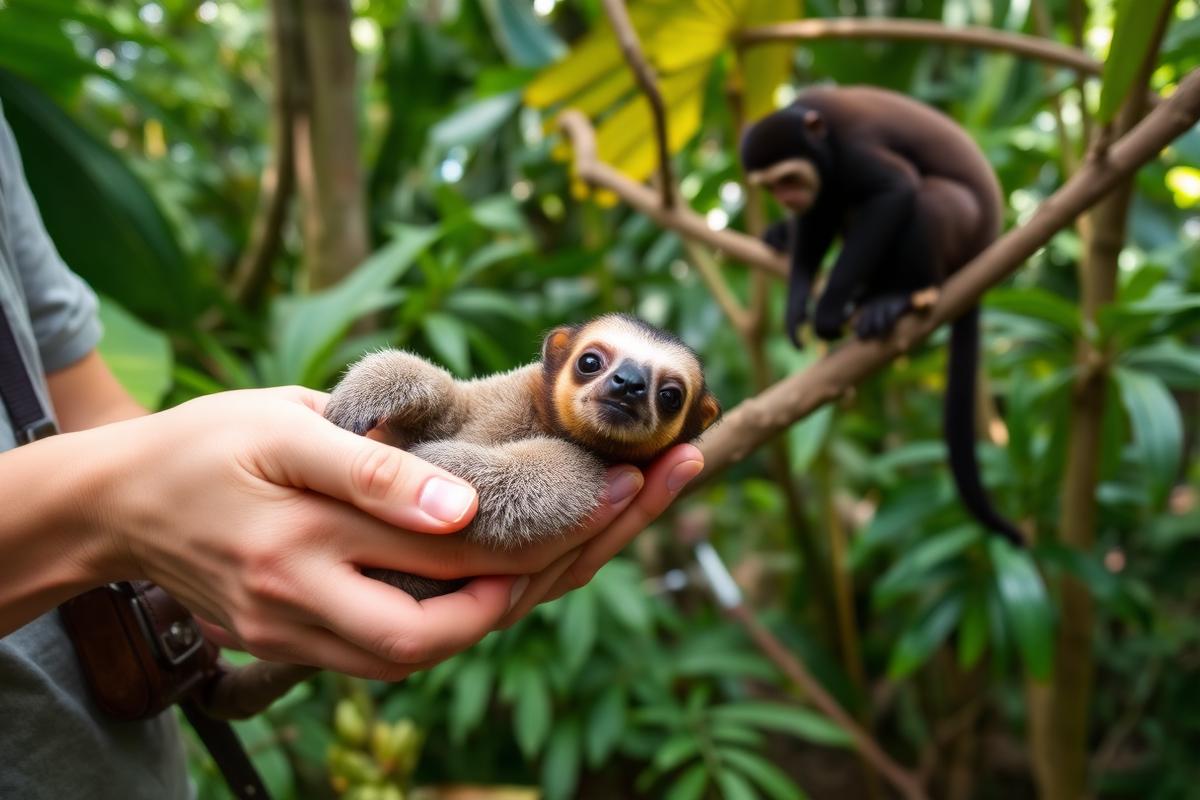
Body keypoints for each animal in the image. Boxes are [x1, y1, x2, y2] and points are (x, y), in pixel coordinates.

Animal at [197, 314, 720, 719]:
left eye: (670, 395)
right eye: (591, 361)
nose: (628, 384)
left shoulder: (584, 472)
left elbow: (525, 486)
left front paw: (434, 462)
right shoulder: (505, 390)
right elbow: (450, 396)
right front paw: (368, 393)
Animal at [740, 85, 1024, 546]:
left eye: (789, 179)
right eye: (771, 186)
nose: (787, 200)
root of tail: (987, 248)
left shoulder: (853, 151)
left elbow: (894, 191)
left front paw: (828, 310)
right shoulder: (823, 186)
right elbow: (817, 221)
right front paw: (797, 302)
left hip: (962, 235)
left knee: (926, 198)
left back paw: (898, 296)